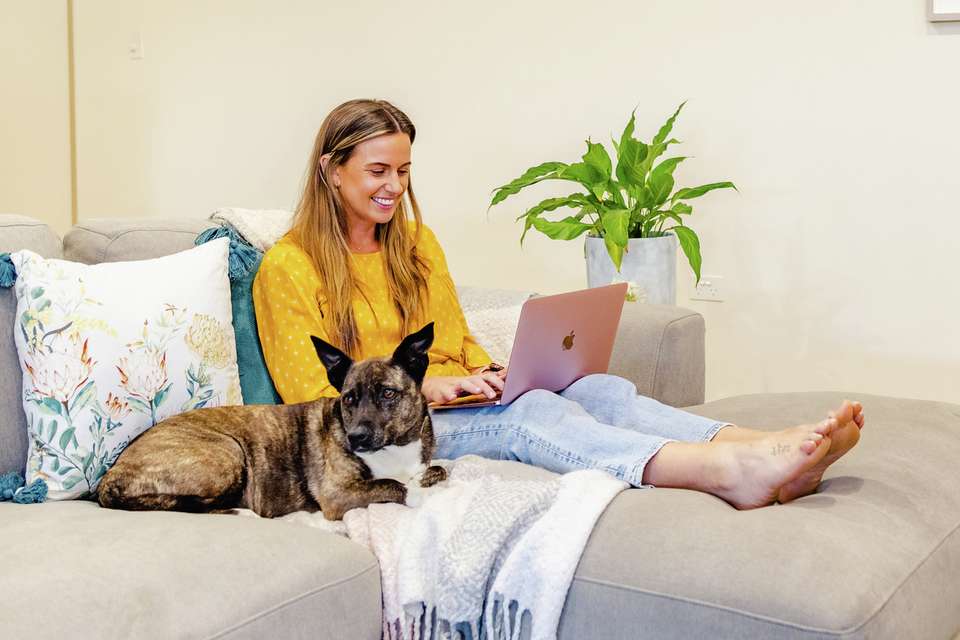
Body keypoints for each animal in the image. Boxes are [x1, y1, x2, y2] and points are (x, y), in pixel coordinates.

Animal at [95, 320, 448, 520]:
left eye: (388, 393)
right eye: (349, 398)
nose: (356, 438)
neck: (395, 447)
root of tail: (111, 476)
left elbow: (435, 471)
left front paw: (423, 479)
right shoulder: (338, 494)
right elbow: (391, 484)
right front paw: (416, 493)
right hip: (229, 452)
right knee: (190, 503)